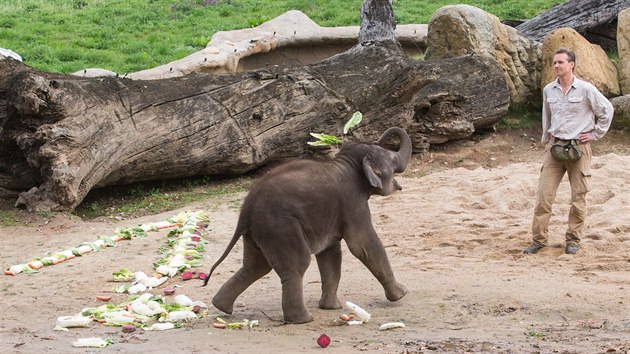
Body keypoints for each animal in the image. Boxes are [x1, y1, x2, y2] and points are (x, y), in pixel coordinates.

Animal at [202, 126, 410, 324]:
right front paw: (402, 294)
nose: (381, 137)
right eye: (393, 160)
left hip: (258, 232)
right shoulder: (352, 202)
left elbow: (330, 255)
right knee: (296, 264)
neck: (346, 163)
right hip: (279, 227)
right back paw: (303, 319)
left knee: (256, 267)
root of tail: (245, 213)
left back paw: (221, 306)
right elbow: (362, 245)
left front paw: (331, 307)